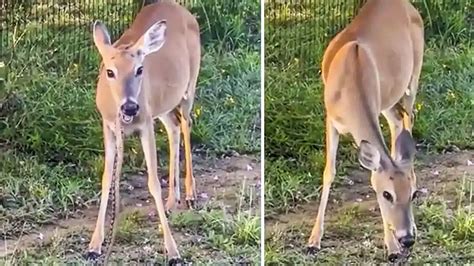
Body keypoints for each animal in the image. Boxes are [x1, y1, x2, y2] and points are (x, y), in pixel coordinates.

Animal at [85, 1, 200, 264]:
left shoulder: (145, 124)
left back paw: (190, 194)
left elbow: (153, 182)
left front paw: (173, 251)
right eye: (109, 71)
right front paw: (95, 245)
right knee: (174, 126)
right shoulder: (108, 126)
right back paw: (172, 200)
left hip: (189, 86)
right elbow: (107, 179)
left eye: (139, 69)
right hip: (163, 105)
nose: (130, 107)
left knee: (186, 124)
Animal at [308, 0, 426, 262]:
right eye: (387, 195)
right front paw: (313, 241)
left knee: (408, 118)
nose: (407, 238)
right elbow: (329, 172)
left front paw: (392, 248)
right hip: (389, 99)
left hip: (413, 76)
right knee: (398, 123)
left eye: (412, 195)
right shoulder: (331, 119)